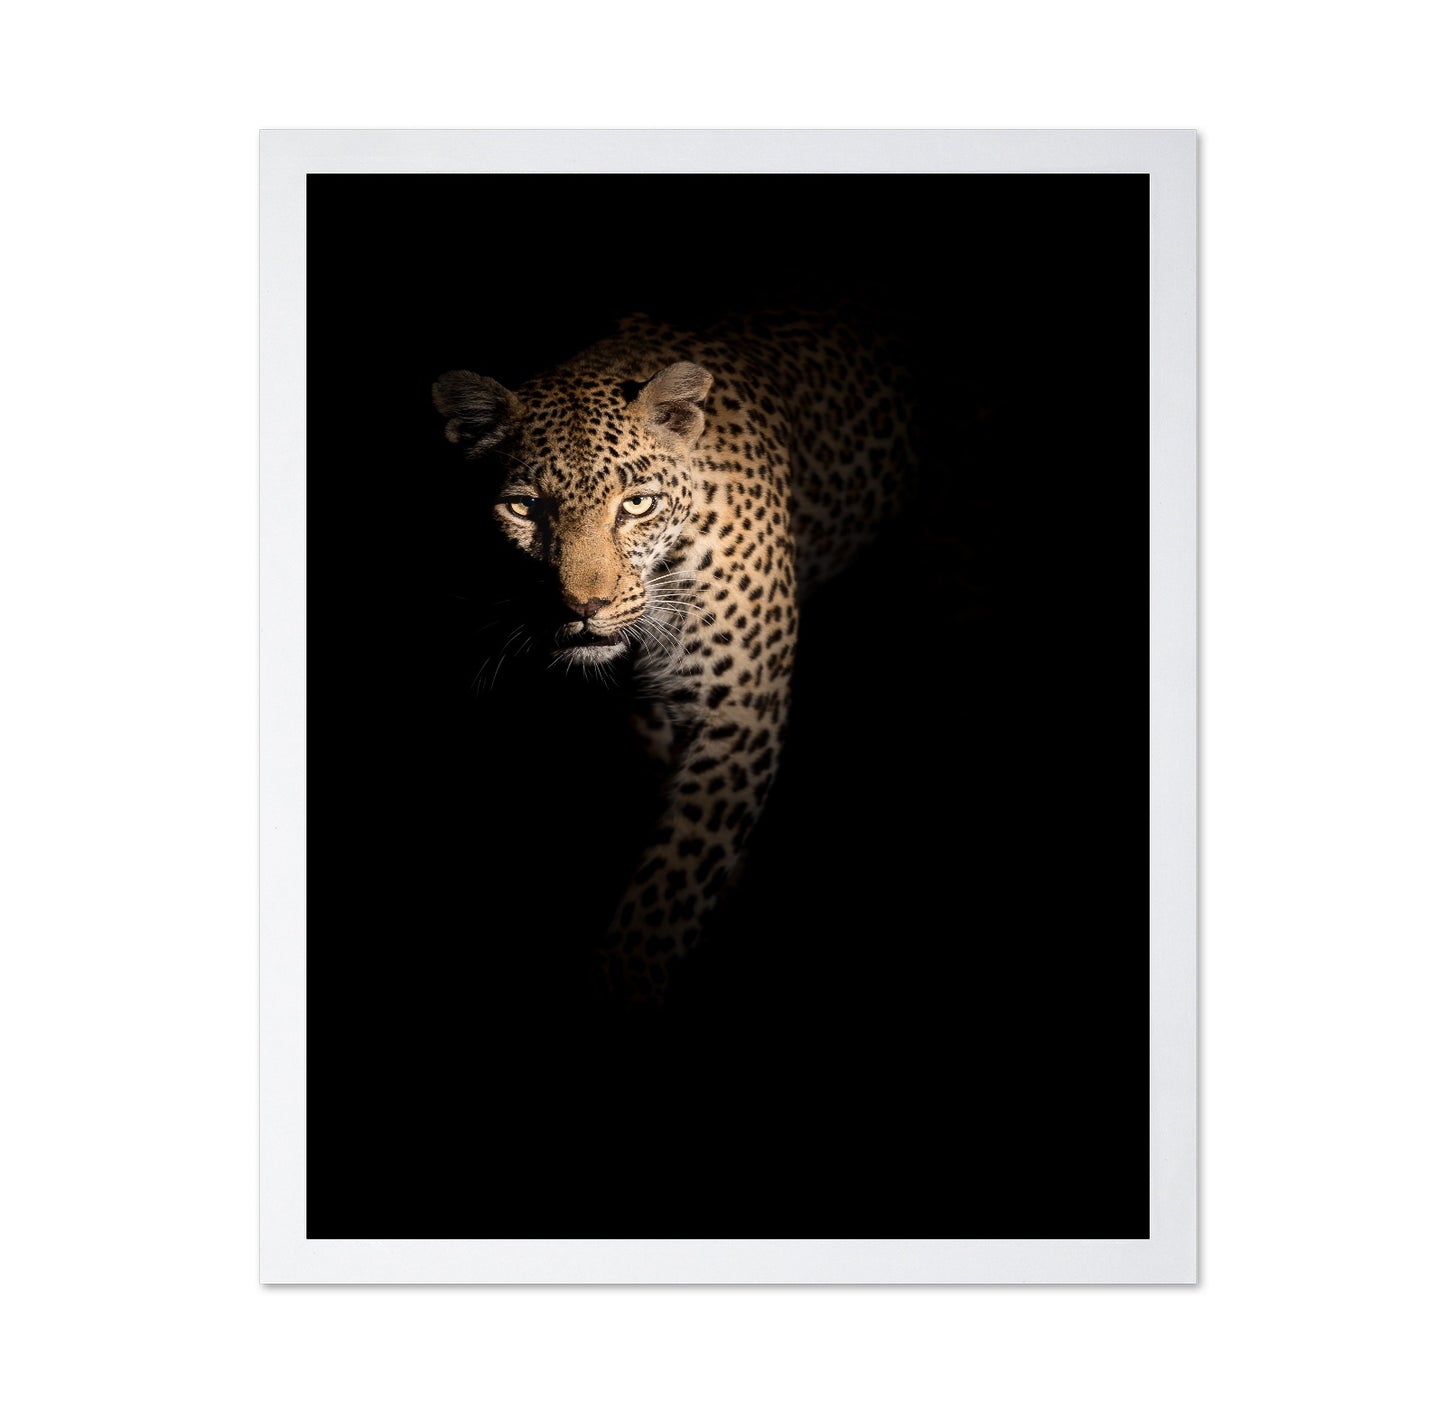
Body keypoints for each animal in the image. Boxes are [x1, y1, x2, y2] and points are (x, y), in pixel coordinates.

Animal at [432, 310, 914, 1002]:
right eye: (522, 508)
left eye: (637, 504)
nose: (585, 607)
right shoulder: (648, 714)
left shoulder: (739, 714)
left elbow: (669, 890)